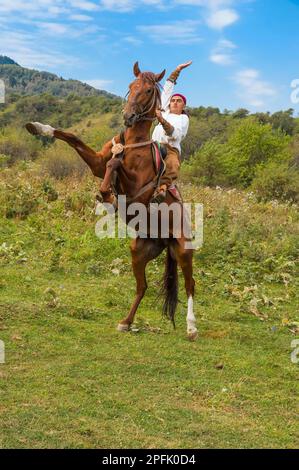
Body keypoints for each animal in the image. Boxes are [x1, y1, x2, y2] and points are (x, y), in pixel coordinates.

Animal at [25, 63, 199, 342]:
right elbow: (74, 138)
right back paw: (126, 322)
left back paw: (192, 327)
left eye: (148, 90)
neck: (133, 143)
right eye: (131, 86)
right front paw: (39, 128)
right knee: (142, 287)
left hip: (183, 250)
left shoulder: (137, 190)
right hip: (139, 251)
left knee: (190, 284)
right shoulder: (97, 163)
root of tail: (165, 240)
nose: (128, 116)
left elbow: (115, 163)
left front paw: (105, 195)